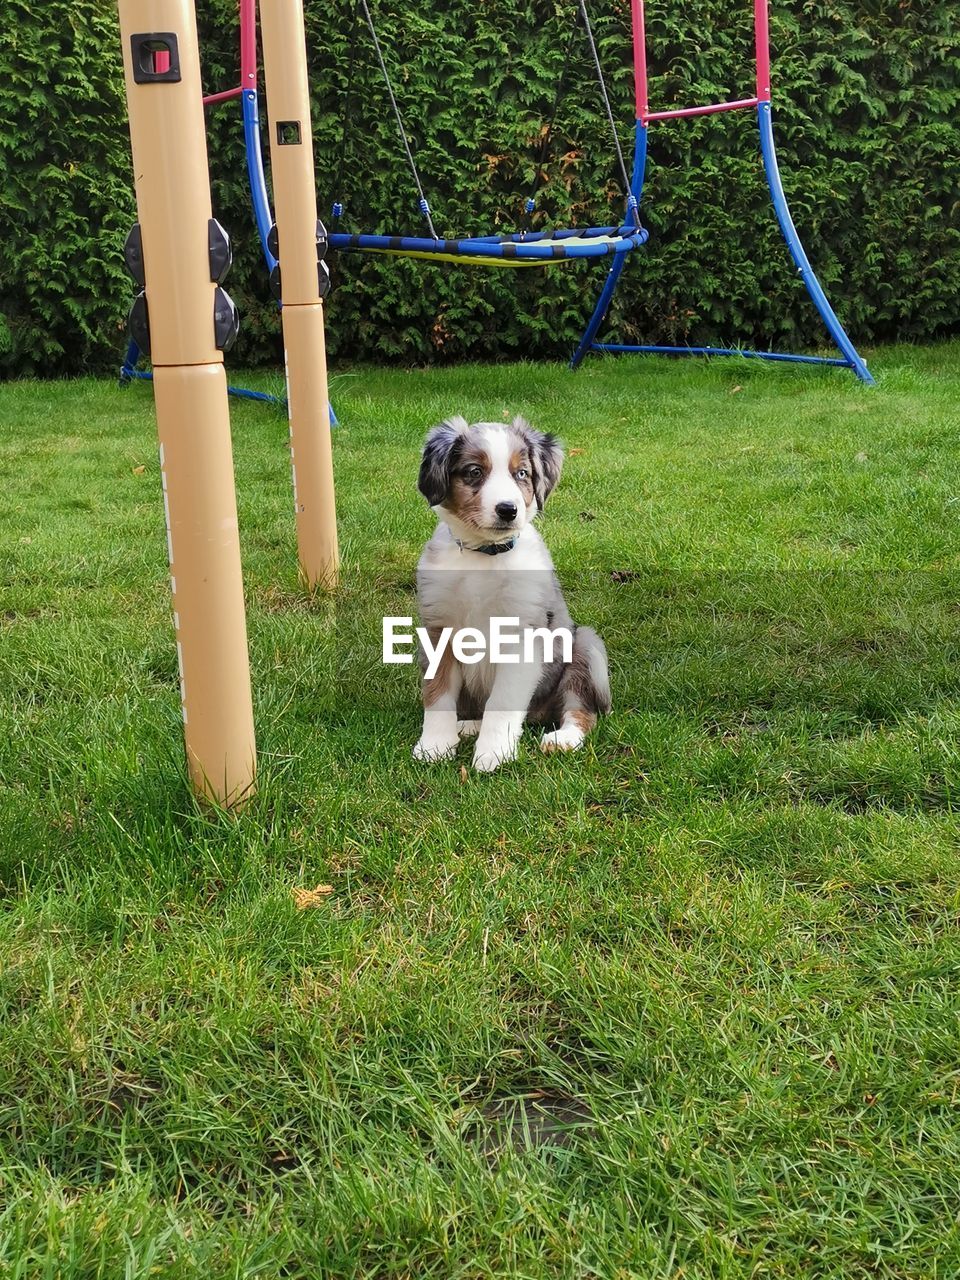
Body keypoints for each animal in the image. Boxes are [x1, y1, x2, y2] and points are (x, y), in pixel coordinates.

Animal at [412, 412, 609, 768]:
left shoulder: (522, 634)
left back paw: (562, 739)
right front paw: (434, 745)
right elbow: (437, 695)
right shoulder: (438, 632)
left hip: (585, 647)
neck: (484, 555)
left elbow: (502, 701)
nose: (508, 510)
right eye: (475, 472)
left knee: (582, 710)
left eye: (522, 474)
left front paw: (494, 753)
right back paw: (468, 726)